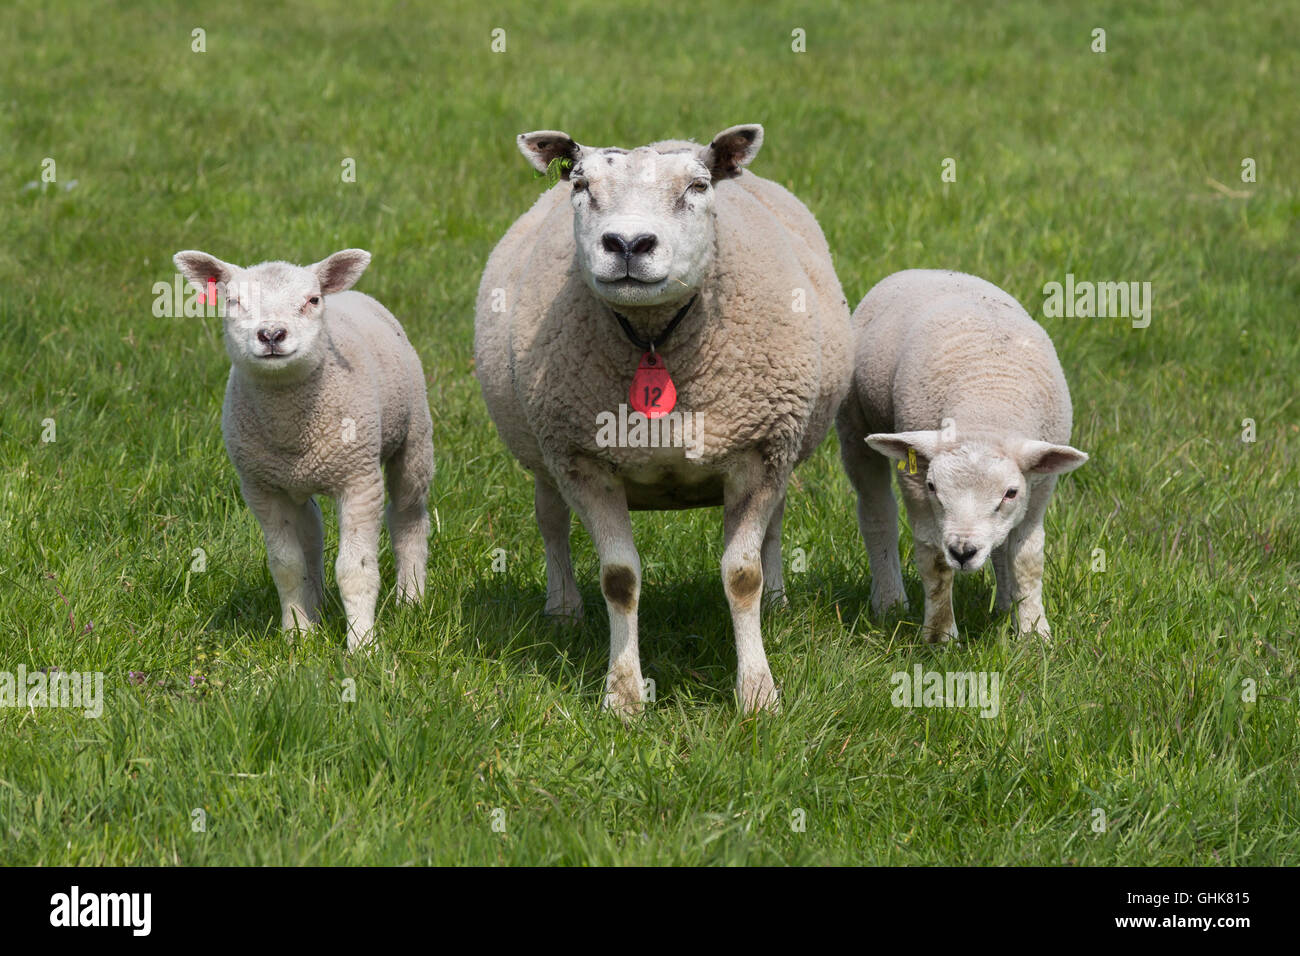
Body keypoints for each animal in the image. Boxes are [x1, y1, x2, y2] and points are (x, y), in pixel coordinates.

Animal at [173, 248, 434, 651]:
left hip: (414, 436)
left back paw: (411, 598)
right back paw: (318, 603)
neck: (291, 427)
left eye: (311, 301)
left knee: (408, 515)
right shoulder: (263, 488)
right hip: (297, 481)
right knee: (312, 529)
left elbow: (355, 569)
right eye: (232, 301)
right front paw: (297, 635)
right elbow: (287, 566)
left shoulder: (359, 480)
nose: (271, 334)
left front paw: (362, 644)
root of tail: (350, 293)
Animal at [475, 124, 852, 713]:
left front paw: (758, 694)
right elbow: (619, 579)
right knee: (551, 522)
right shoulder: (583, 460)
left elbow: (742, 575)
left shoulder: (761, 451)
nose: (629, 245)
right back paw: (563, 609)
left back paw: (777, 601)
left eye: (698, 186)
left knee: (774, 526)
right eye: (580, 185)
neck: (652, 336)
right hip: (544, 454)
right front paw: (624, 697)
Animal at [835, 269, 1087, 642]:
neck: (988, 406)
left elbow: (1026, 558)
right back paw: (890, 602)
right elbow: (934, 560)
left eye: (1010, 492)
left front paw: (1033, 633)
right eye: (933, 488)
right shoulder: (915, 482)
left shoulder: (1040, 486)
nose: (964, 552)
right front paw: (940, 636)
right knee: (877, 513)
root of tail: (923, 271)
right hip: (854, 424)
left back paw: (1004, 607)